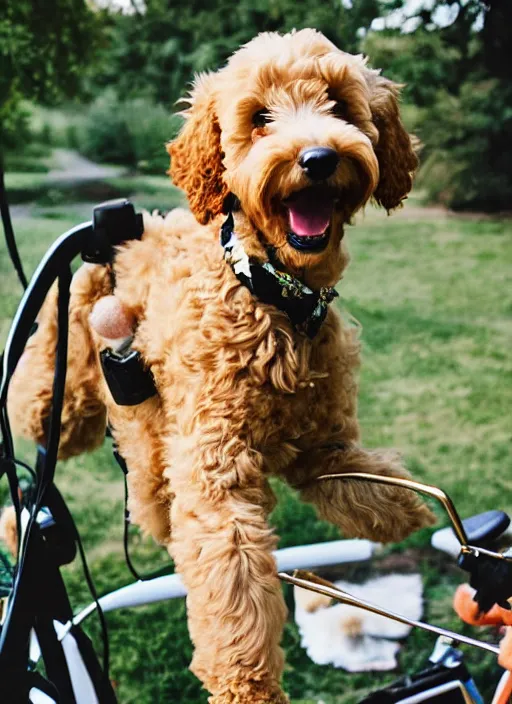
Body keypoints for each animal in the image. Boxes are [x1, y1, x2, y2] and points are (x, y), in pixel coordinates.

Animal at [7, 28, 432, 704]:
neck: (273, 295)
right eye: (259, 117)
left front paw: (399, 509)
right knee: (54, 412)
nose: (317, 158)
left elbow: (353, 473)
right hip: (75, 386)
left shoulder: (320, 439)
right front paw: (247, 682)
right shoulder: (215, 474)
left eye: (340, 105)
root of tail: (135, 233)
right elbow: (233, 582)